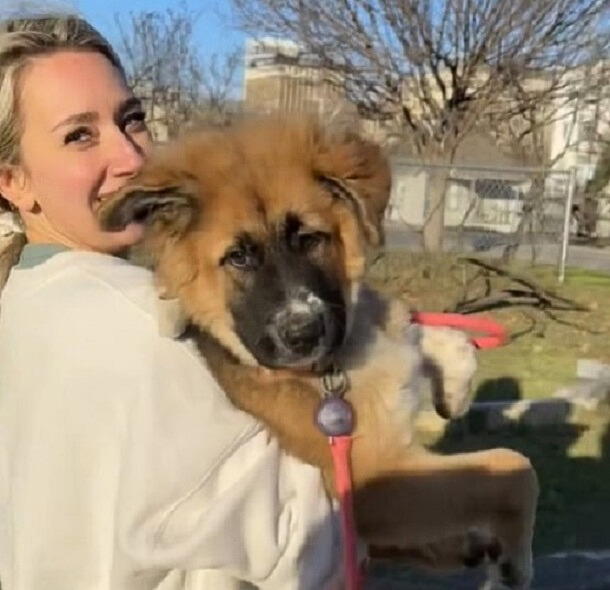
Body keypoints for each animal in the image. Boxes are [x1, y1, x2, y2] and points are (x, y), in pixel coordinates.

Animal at [98, 118, 536, 588]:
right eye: (238, 258)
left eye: (310, 239)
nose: (303, 333)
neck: (335, 370)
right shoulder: (370, 479)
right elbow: (514, 468)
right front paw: (513, 564)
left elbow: (426, 332)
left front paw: (453, 385)